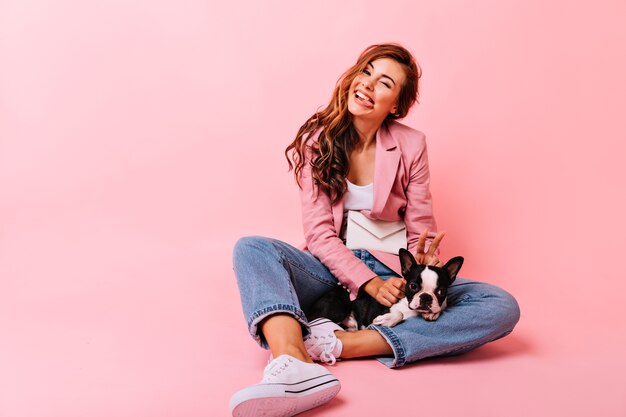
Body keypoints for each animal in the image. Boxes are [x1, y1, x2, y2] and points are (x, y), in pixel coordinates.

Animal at [304, 247, 460, 328]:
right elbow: (399, 314)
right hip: (337, 310)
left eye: (441, 291)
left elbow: (440, 308)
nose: (426, 297)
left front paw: (432, 313)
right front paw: (385, 320)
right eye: (413, 286)